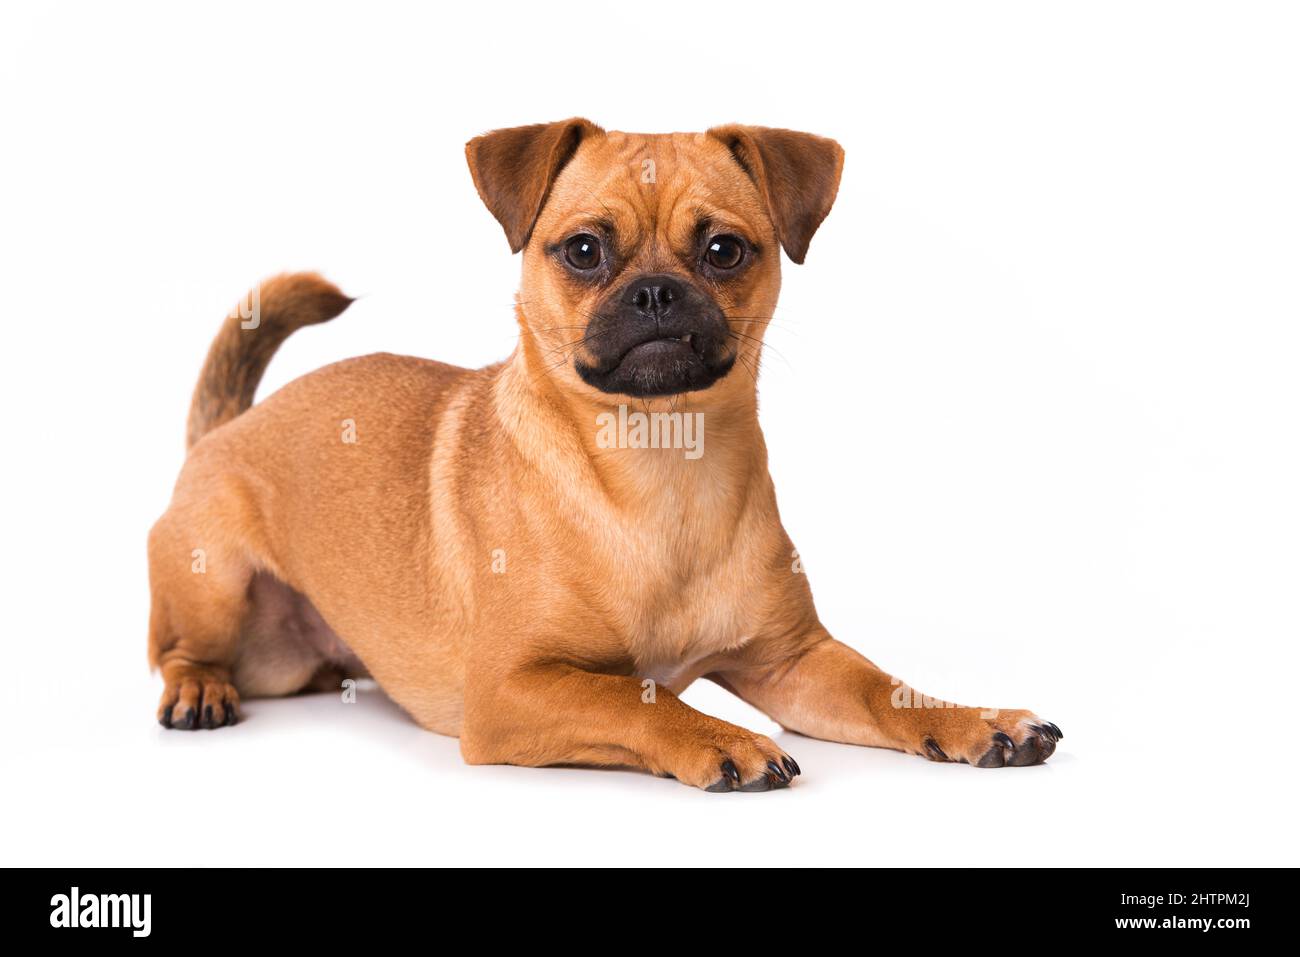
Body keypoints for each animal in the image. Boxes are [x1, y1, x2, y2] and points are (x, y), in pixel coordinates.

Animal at [147, 119, 1060, 790]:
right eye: (584, 250)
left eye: (724, 250)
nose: (655, 292)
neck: (662, 467)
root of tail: (227, 428)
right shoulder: (512, 689)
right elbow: (634, 698)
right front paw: (721, 736)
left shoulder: (795, 662)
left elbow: (884, 688)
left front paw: (971, 719)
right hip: (216, 588)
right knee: (175, 650)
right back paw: (198, 687)